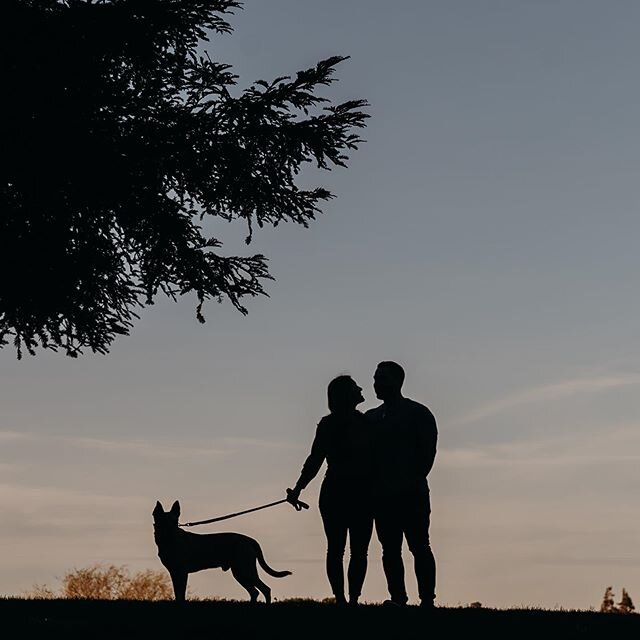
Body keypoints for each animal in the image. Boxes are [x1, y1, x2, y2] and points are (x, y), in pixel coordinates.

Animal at [151, 502, 292, 604]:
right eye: (163, 522)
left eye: (175, 522)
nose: (172, 532)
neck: (169, 542)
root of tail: (249, 540)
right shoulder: (174, 572)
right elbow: (177, 593)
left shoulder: (182, 572)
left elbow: (181, 593)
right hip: (240, 572)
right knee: (254, 592)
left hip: (245, 569)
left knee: (265, 589)